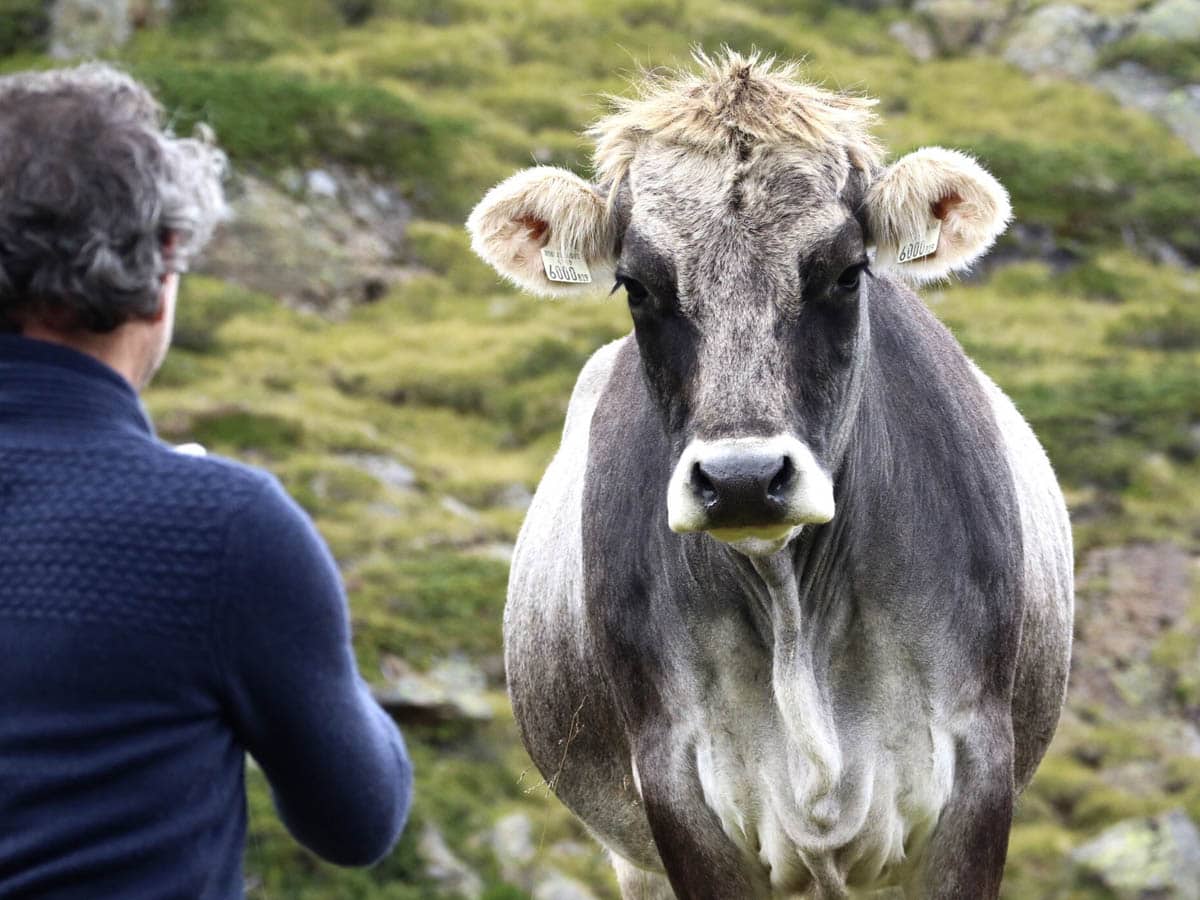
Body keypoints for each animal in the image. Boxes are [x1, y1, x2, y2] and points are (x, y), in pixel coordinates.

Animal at [463, 51, 1075, 900]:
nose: (744, 479)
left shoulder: (979, 768)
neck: (792, 613)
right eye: (637, 286)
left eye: (847, 273)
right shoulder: (676, 792)